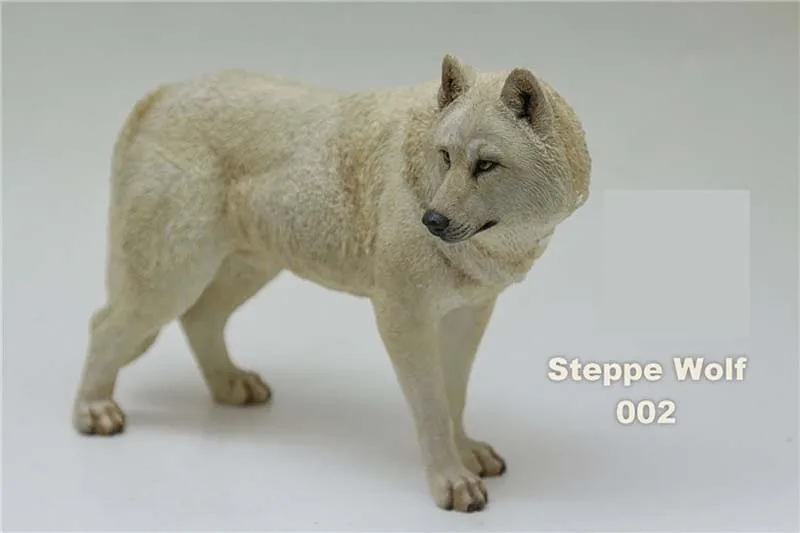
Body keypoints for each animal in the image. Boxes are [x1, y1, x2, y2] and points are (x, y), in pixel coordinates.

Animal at [72, 54, 591, 512]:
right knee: (104, 325)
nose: (433, 220)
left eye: (486, 165)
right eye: (446, 157)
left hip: (244, 270)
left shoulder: (467, 315)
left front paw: (465, 454)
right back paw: (93, 410)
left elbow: (454, 397)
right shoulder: (404, 319)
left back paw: (229, 385)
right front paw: (451, 481)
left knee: (200, 318)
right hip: (172, 279)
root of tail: (161, 93)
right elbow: (431, 408)